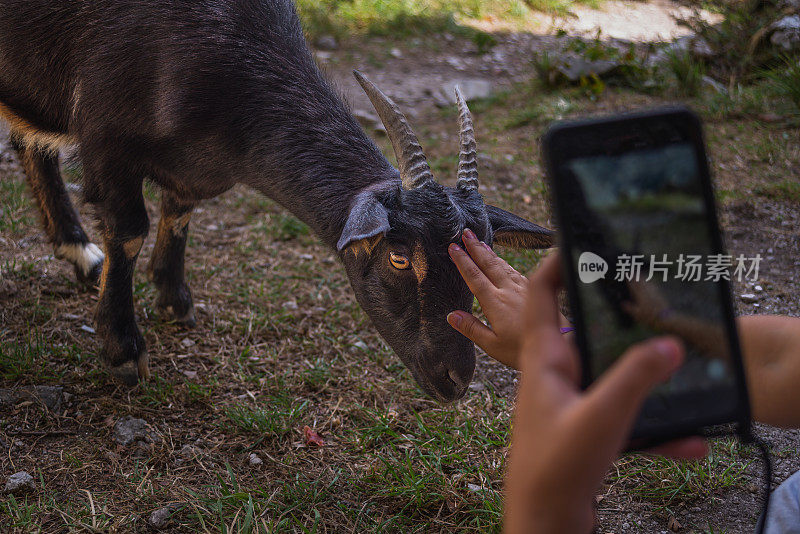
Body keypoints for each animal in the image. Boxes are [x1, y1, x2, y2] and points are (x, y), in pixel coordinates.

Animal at [0, 0, 552, 402]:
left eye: (482, 253)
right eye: (398, 258)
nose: (456, 381)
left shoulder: (191, 168)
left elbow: (179, 214)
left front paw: (176, 300)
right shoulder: (105, 140)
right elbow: (130, 230)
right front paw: (123, 350)